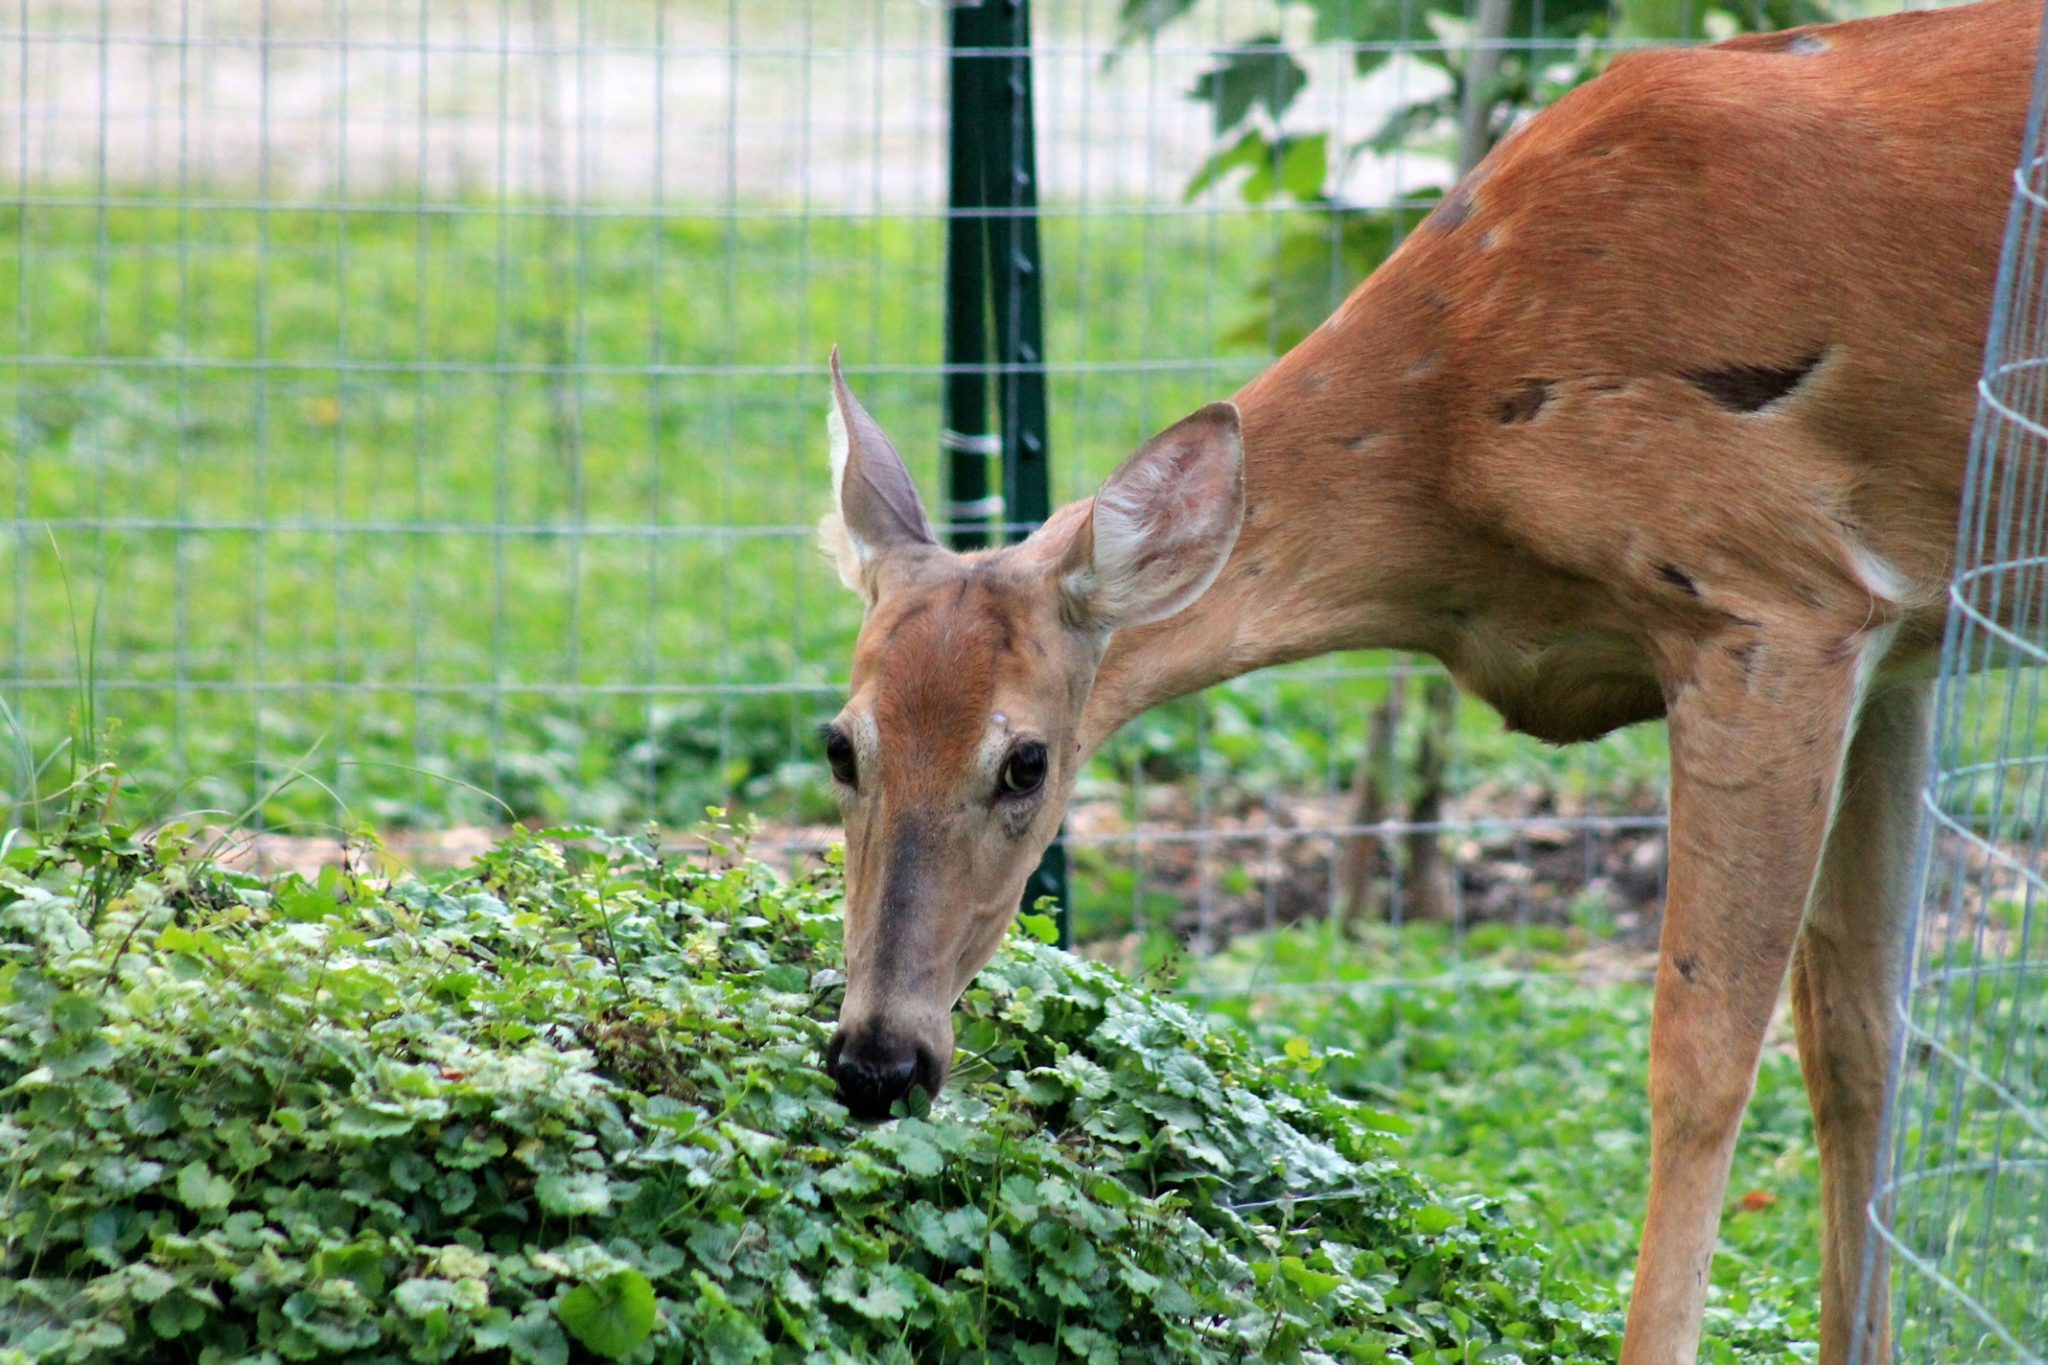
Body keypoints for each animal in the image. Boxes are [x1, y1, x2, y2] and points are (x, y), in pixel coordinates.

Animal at [811, 2, 2031, 1365]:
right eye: (839, 745)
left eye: (1024, 762)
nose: (876, 1060)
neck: (1455, 438)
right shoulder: (1901, 639)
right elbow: (1861, 1040)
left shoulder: (1768, 601)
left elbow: (1700, 1058)